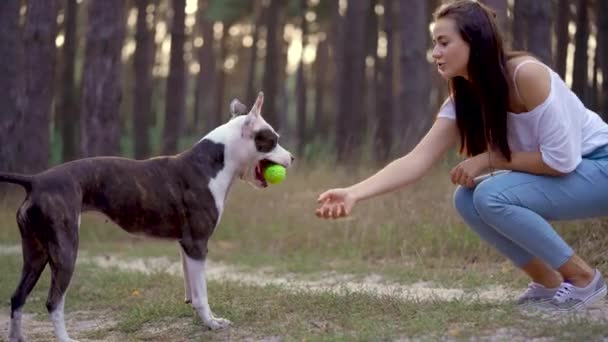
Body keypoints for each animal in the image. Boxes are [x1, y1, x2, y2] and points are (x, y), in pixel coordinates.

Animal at [0, 92, 294, 340]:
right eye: (273, 140)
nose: (292, 158)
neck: (212, 163)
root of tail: (36, 180)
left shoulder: (187, 247)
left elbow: (192, 288)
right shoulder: (198, 245)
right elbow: (202, 293)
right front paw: (211, 322)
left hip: (36, 253)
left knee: (17, 298)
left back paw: (16, 337)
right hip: (64, 251)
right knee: (53, 301)